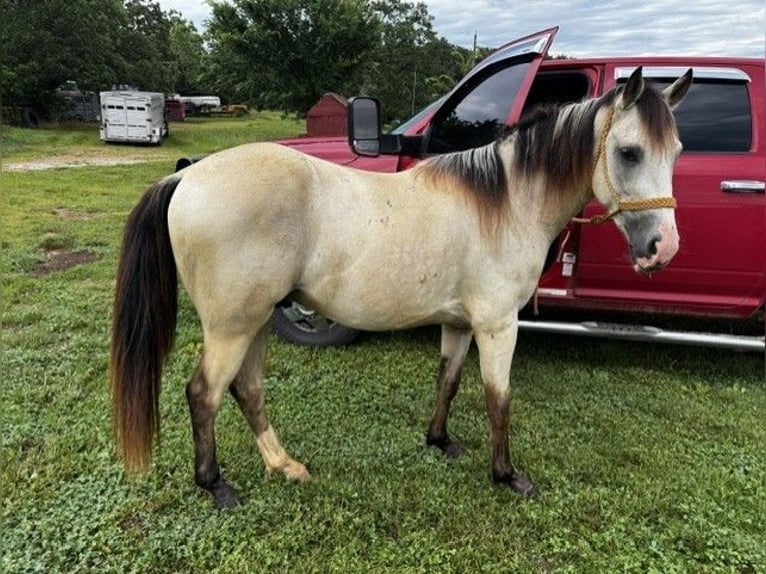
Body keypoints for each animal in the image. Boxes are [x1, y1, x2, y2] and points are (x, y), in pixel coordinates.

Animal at [111, 67, 692, 508]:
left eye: (677, 152)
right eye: (630, 152)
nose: (662, 248)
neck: (504, 202)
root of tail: (187, 177)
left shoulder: (459, 323)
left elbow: (448, 382)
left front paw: (440, 442)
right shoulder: (497, 325)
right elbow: (498, 397)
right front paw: (507, 475)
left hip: (254, 321)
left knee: (247, 390)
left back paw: (284, 465)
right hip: (232, 326)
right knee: (204, 394)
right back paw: (216, 486)